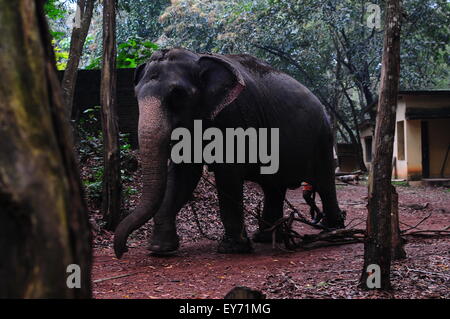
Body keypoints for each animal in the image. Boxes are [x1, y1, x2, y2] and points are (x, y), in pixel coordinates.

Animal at [113, 47, 344, 258]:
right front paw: (159, 249)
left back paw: (334, 232)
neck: (197, 57)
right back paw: (266, 237)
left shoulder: (234, 118)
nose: (122, 250)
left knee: (325, 184)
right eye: (135, 95)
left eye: (177, 95)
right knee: (273, 186)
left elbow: (228, 174)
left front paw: (232, 248)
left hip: (323, 140)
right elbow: (182, 175)